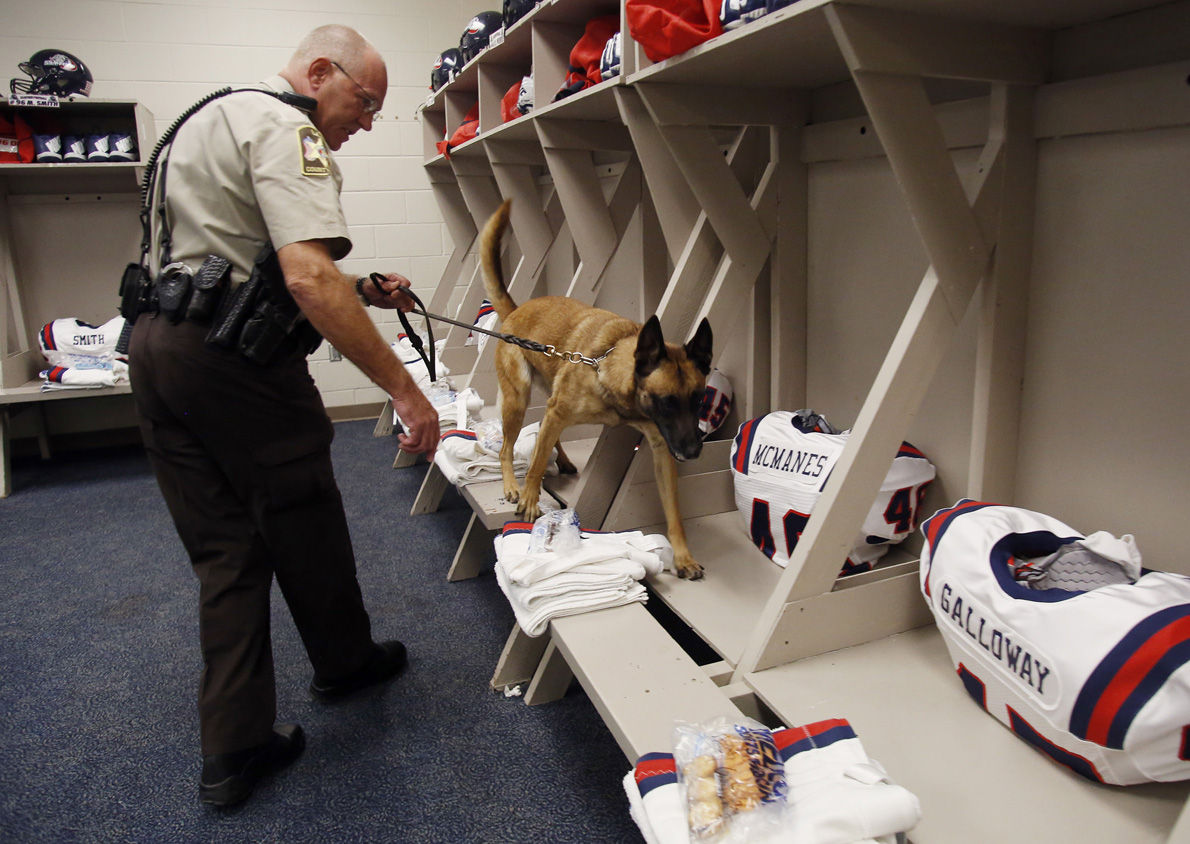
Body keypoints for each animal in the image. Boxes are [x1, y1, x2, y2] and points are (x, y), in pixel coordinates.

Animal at [478, 198, 709, 578]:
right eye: (667, 402)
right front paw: (529, 498)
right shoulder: (561, 410)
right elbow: (536, 465)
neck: (609, 367)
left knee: (544, 435)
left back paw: (562, 458)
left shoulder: (661, 449)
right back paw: (512, 485)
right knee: (508, 448)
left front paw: (684, 556)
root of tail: (515, 311)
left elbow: (674, 513)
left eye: (699, 399)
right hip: (518, 398)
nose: (693, 452)